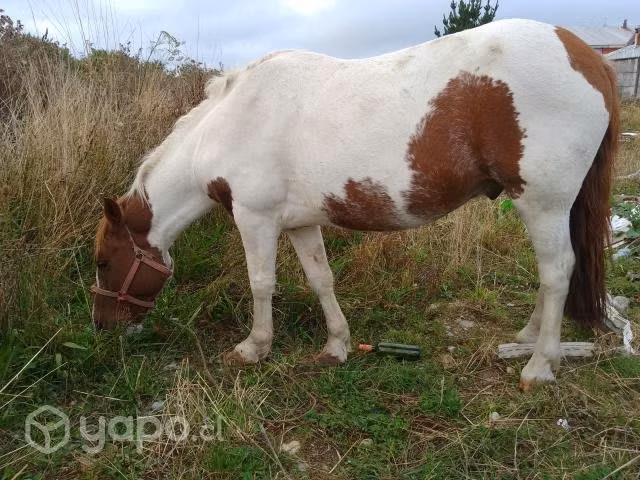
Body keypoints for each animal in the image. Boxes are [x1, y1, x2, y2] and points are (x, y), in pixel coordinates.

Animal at [91, 19, 619, 390]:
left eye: (102, 262)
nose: (101, 327)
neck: (232, 122)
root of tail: (588, 57)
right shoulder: (299, 223)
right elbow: (320, 279)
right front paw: (336, 345)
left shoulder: (254, 219)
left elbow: (262, 284)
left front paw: (254, 347)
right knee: (553, 274)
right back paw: (527, 339)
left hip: (543, 203)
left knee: (556, 272)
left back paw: (539, 366)